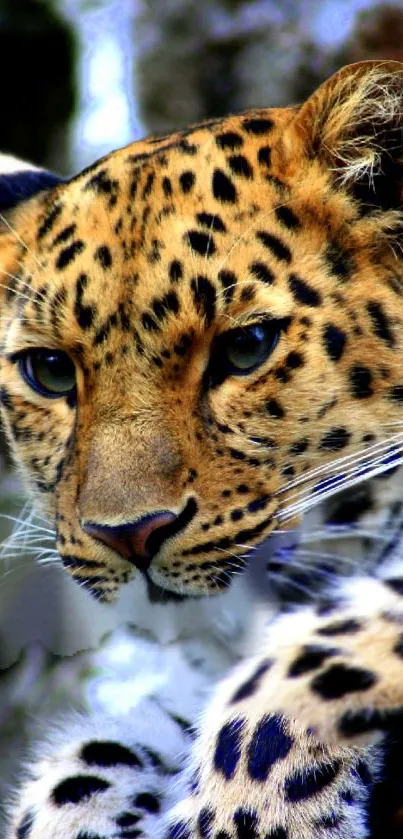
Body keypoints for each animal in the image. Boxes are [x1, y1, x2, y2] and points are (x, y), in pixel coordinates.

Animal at [0, 60, 403, 839]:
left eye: (247, 347)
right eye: (51, 370)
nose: (129, 534)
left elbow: (309, 657)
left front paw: (253, 814)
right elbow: (78, 771)